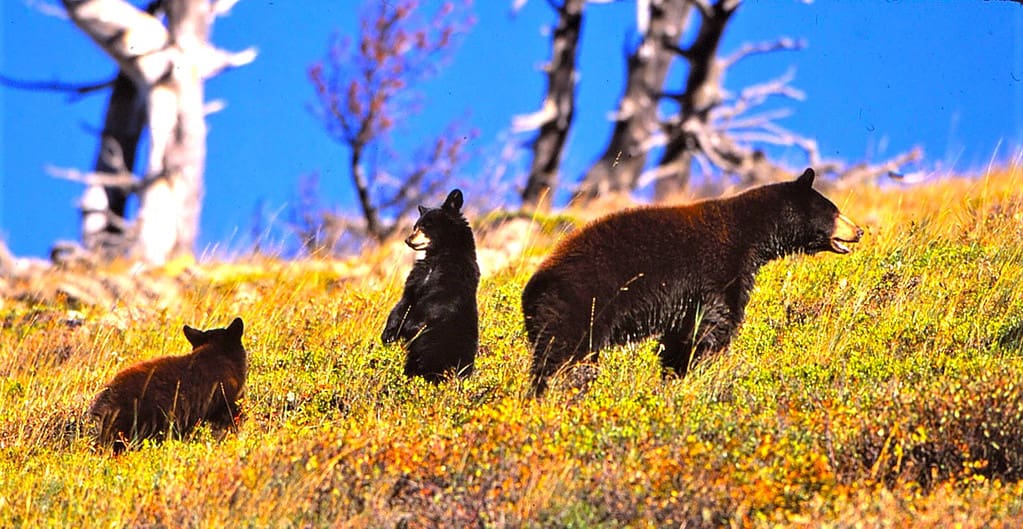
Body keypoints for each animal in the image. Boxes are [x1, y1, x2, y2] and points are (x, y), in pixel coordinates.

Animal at [382, 187, 480, 380]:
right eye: (415, 226)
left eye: (426, 226)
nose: (408, 240)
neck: (438, 255)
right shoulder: (417, 277)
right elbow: (404, 301)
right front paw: (389, 334)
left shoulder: (456, 275)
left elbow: (437, 300)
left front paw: (410, 326)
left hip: (445, 346)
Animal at [519, 166, 863, 392]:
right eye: (834, 210)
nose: (859, 230)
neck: (750, 233)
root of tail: (532, 290)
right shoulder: (717, 272)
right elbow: (712, 325)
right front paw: (700, 368)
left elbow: (680, 337)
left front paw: (673, 375)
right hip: (578, 307)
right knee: (563, 356)